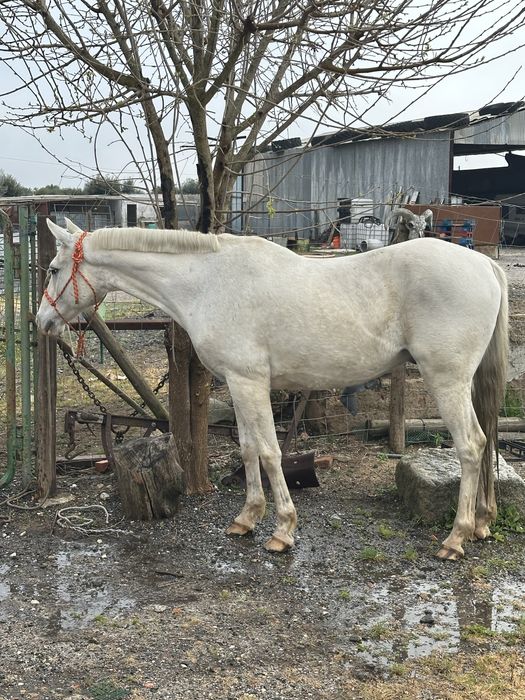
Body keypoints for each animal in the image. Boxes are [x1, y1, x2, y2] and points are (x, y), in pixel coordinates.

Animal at [36, 218, 508, 560]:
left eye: (54, 270)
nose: (43, 322)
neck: (206, 282)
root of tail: (484, 265)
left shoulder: (249, 382)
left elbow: (268, 452)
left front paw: (282, 529)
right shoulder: (238, 383)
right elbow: (247, 449)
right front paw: (246, 518)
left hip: (447, 379)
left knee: (471, 446)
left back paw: (455, 539)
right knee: (486, 442)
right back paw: (482, 523)